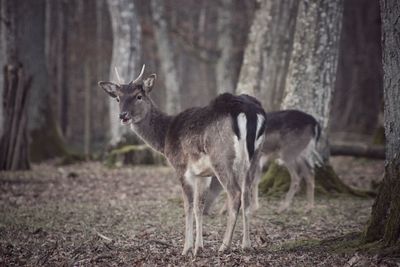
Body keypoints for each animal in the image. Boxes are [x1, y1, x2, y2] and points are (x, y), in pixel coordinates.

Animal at [97, 66, 266, 256]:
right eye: (118, 98)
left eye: (138, 96)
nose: (123, 115)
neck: (165, 138)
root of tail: (249, 111)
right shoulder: (203, 174)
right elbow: (199, 206)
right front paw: (199, 247)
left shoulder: (181, 167)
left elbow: (188, 206)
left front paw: (186, 248)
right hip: (255, 156)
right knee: (247, 195)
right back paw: (246, 244)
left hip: (221, 157)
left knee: (235, 194)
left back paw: (224, 246)